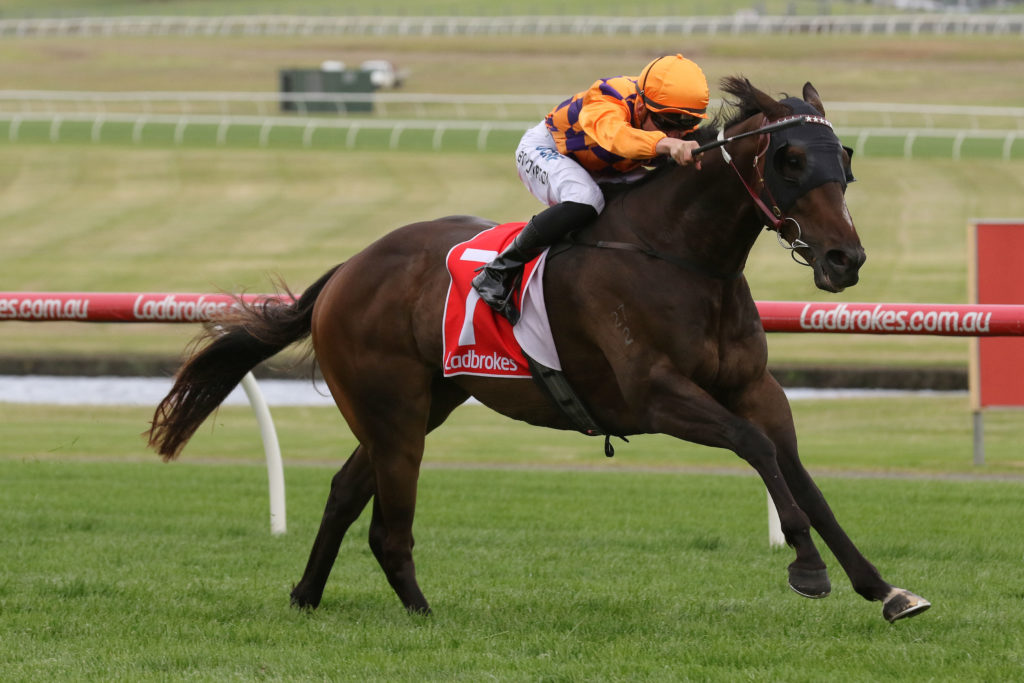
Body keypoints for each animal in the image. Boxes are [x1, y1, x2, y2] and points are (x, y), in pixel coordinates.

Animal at [148, 77, 930, 623]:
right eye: (791, 158)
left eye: (844, 156)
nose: (844, 258)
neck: (679, 255)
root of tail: (347, 268)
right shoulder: (656, 396)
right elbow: (757, 449)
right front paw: (807, 568)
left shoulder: (755, 389)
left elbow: (798, 472)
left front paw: (883, 587)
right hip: (393, 409)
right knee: (388, 524)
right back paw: (422, 612)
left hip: (426, 401)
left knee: (345, 492)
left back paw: (308, 595)